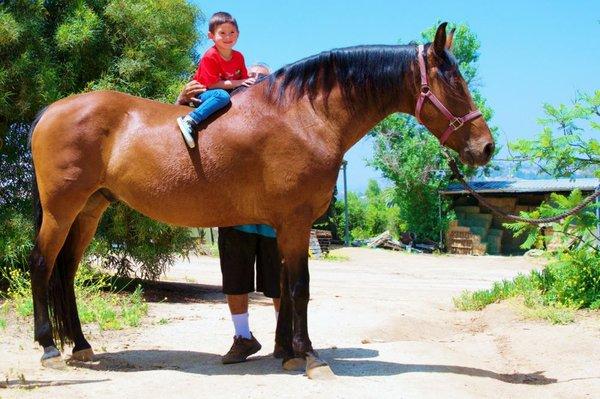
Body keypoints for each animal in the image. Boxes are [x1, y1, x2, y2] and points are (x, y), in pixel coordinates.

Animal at [29, 23, 492, 376]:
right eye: (453, 82)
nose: (485, 147)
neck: (305, 117)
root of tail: (51, 111)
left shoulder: (286, 226)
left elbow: (285, 286)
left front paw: (288, 353)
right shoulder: (297, 221)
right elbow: (301, 288)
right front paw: (311, 358)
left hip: (90, 209)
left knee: (66, 271)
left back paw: (81, 345)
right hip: (62, 209)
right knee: (42, 264)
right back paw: (49, 347)